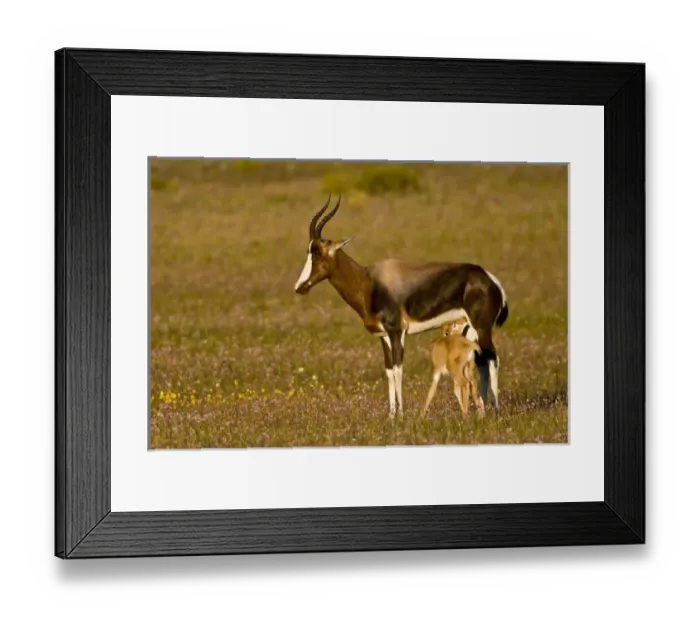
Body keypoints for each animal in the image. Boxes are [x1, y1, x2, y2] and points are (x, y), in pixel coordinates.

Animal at [294, 195, 509, 418]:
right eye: (309, 251)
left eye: (318, 253)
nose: (300, 287)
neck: (370, 282)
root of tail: (490, 279)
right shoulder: (384, 336)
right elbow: (389, 371)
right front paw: (391, 415)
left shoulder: (397, 332)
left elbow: (398, 369)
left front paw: (402, 414)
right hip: (469, 331)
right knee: (482, 361)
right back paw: (482, 409)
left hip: (482, 329)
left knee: (493, 360)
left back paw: (495, 409)